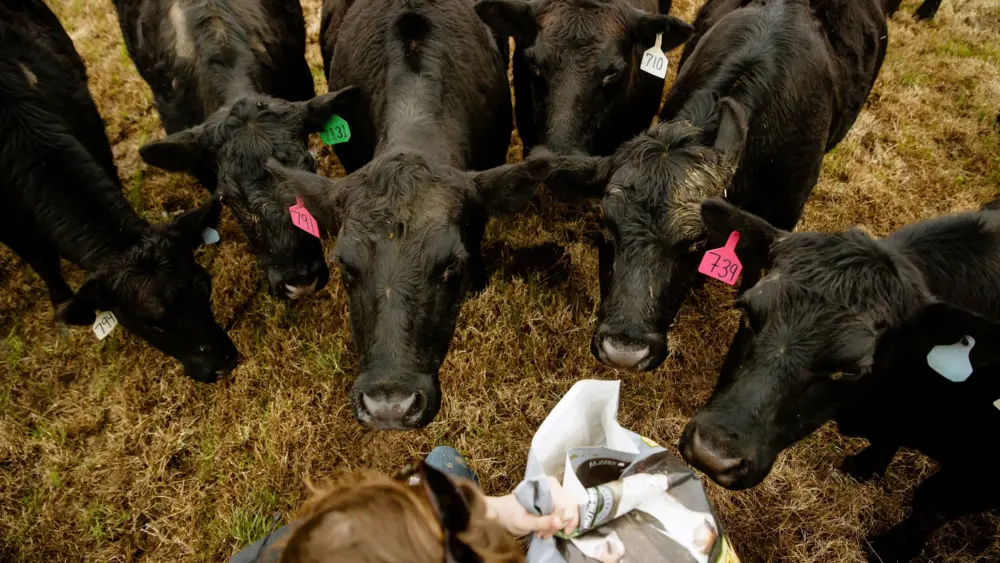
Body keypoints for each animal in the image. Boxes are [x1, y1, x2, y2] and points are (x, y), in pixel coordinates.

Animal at [0, 0, 237, 382]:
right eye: (152, 324)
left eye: (205, 286)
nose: (221, 364)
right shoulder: (11, 228)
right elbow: (43, 261)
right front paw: (60, 303)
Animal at [680, 198, 1000, 562]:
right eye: (748, 311)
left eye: (850, 368)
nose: (711, 454)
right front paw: (865, 466)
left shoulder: (978, 476)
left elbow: (930, 506)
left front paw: (889, 549)